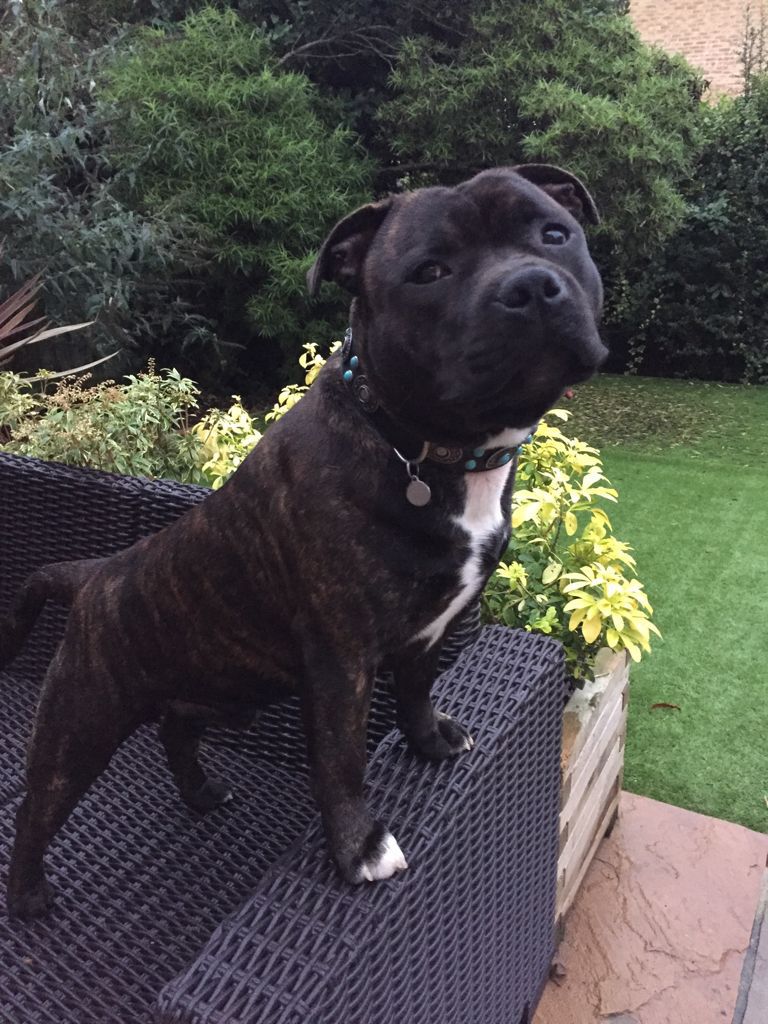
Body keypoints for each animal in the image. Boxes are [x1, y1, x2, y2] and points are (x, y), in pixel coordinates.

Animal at [3, 163, 610, 917]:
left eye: (555, 235)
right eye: (430, 271)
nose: (528, 285)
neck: (425, 447)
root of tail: (97, 574)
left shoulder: (431, 626)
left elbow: (416, 691)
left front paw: (431, 740)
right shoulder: (341, 657)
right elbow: (342, 759)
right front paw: (359, 850)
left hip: (212, 686)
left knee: (176, 728)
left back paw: (200, 792)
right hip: (83, 720)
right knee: (38, 805)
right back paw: (30, 896)